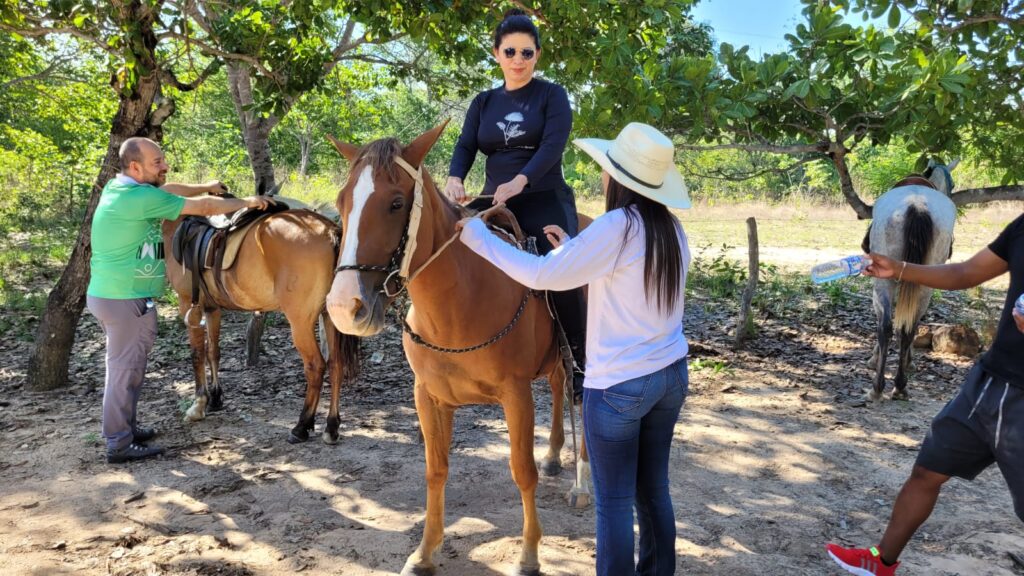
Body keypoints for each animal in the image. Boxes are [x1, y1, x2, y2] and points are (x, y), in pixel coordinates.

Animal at [162, 206, 360, 444]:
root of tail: (329, 230)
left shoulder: (189, 307)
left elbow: (197, 354)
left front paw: (199, 404)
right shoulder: (212, 309)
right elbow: (213, 352)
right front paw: (216, 398)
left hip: (300, 323)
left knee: (316, 366)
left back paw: (301, 426)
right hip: (329, 317)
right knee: (336, 365)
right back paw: (331, 426)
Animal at [324, 122, 590, 576]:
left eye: (396, 203)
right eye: (343, 202)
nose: (345, 307)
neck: (461, 300)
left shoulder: (515, 395)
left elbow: (522, 471)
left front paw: (529, 554)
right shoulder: (428, 396)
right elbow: (436, 470)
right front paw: (424, 552)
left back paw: (583, 484)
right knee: (558, 387)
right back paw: (556, 453)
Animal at [863, 159, 958, 401]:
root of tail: (917, 207)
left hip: (884, 281)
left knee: (886, 326)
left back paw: (879, 387)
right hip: (924, 286)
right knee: (907, 329)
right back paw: (899, 385)